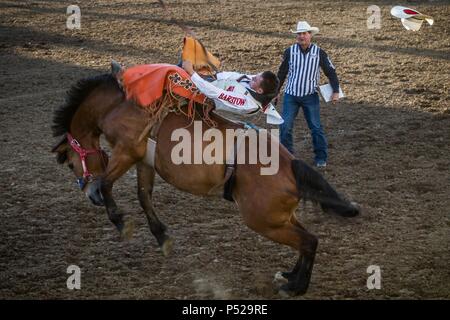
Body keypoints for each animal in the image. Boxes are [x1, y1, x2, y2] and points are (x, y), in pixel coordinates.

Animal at [51, 71, 358, 296]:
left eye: (70, 163)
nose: (89, 194)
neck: (118, 104)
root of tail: (292, 165)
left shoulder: (127, 151)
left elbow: (107, 183)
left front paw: (120, 222)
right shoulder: (144, 160)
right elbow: (143, 195)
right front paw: (162, 237)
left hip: (264, 221)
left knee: (308, 241)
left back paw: (295, 287)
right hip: (280, 217)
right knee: (308, 239)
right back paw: (290, 276)